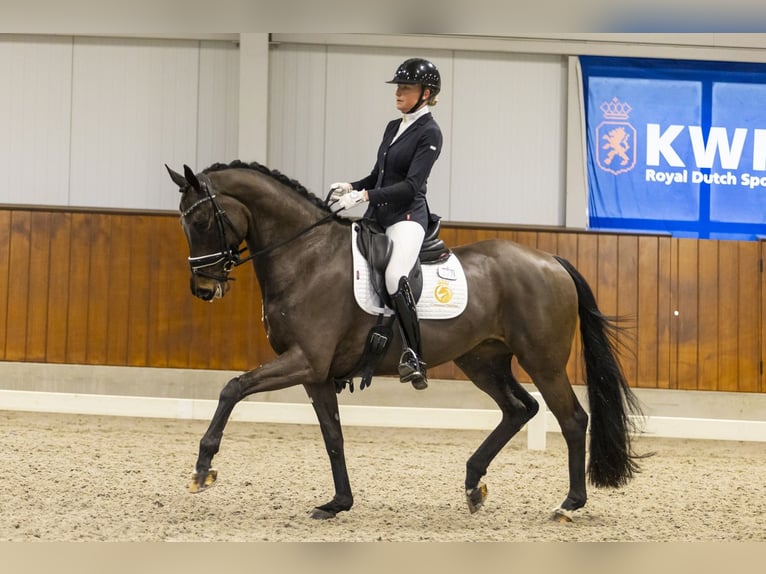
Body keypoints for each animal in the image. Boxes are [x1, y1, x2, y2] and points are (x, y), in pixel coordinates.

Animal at [165, 160, 644, 524]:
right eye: (184, 223)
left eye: (203, 220)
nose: (203, 289)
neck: (307, 257)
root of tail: (551, 261)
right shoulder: (316, 373)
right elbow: (333, 437)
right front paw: (338, 503)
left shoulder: (305, 360)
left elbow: (233, 388)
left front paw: (203, 468)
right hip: (482, 360)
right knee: (519, 409)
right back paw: (473, 484)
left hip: (542, 360)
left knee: (572, 419)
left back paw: (568, 505)